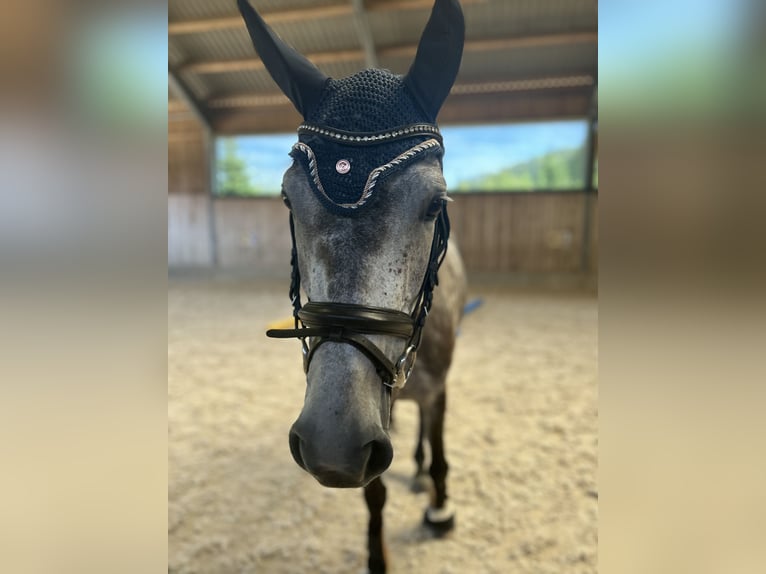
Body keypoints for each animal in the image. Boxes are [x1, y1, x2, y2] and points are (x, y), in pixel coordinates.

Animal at [240, 2, 468, 572]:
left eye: (435, 203)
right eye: (287, 199)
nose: (332, 443)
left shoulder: (437, 391)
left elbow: (439, 449)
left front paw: (439, 511)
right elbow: (375, 493)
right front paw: (377, 557)